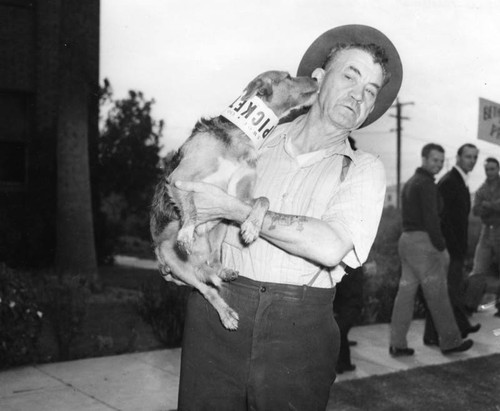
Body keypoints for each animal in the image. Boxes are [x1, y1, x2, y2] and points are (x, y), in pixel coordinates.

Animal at [150, 69, 318, 330]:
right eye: (288, 76)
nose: (318, 78)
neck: (241, 137)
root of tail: (196, 263)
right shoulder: (179, 178)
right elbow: (190, 207)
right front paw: (187, 230)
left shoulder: (238, 197)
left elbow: (263, 200)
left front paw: (251, 227)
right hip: (171, 256)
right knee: (207, 289)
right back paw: (226, 312)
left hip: (219, 228)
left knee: (214, 261)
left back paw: (223, 271)